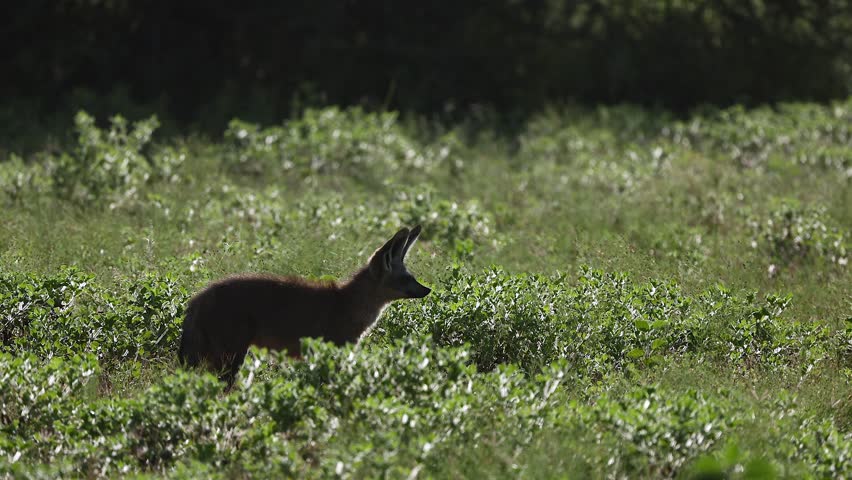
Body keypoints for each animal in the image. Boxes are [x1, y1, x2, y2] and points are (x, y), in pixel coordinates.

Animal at [178, 225, 431, 387]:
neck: (349, 303)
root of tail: (199, 296)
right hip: (231, 358)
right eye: (406, 279)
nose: (428, 290)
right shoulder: (333, 351)